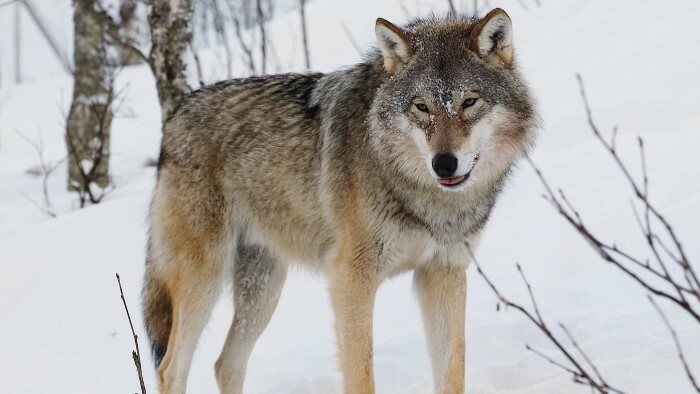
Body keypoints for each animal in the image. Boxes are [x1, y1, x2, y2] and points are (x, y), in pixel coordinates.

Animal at [141, 6, 536, 394]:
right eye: (422, 107)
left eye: (469, 101)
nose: (444, 164)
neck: (423, 196)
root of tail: (175, 116)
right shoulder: (350, 277)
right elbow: (361, 376)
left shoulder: (444, 272)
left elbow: (452, 373)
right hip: (205, 277)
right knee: (169, 369)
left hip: (263, 289)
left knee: (226, 364)